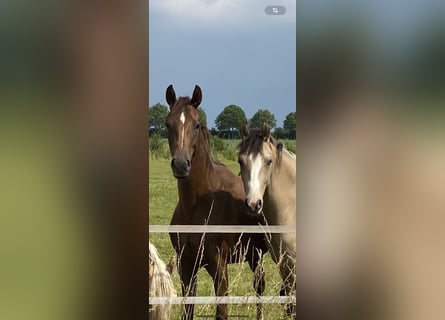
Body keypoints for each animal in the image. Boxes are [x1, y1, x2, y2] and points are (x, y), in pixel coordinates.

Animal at [164, 85, 266, 320]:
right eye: (167, 124)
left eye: (196, 124)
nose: (181, 164)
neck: (197, 205)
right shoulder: (186, 266)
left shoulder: (219, 267)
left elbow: (221, 311)